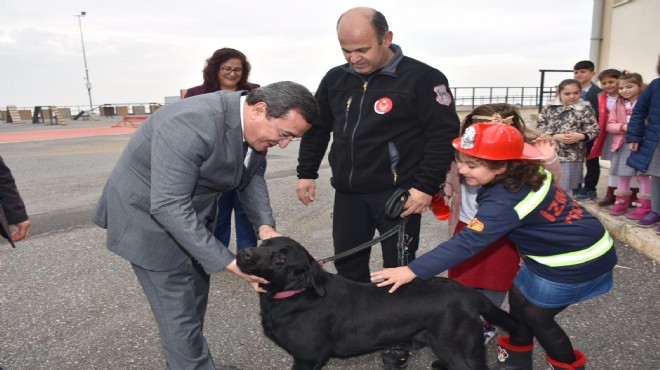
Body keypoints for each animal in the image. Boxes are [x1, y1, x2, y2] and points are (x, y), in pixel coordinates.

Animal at [235, 237, 520, 370]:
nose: (244, 252)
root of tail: (469, 293)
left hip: (455, 346)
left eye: (281, 259)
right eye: (264, 242)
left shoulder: (307, 357)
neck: (296, 293)